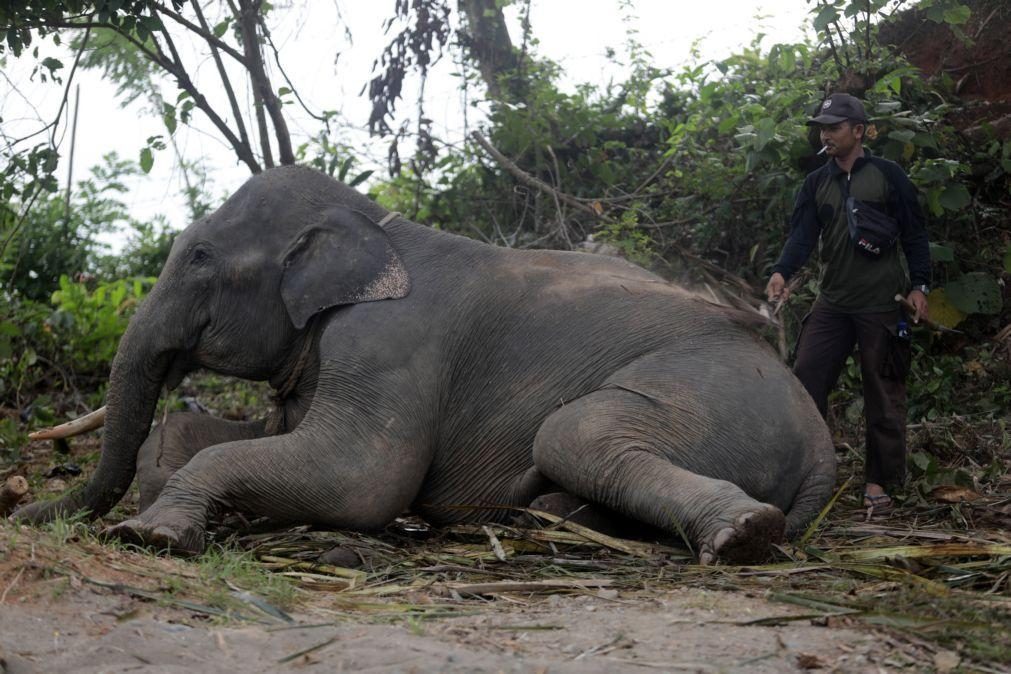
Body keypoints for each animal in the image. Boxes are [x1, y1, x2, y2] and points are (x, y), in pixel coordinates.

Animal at [13, 167, 837, 565]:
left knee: (575, 432)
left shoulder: (389, 344)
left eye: (200, 258)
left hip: (717, 394)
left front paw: (152, 536)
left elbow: (361, 480)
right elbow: (204, 438)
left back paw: (741, 536)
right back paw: (550, 514)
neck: (373, 220)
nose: (16, 510)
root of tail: (824, 445)